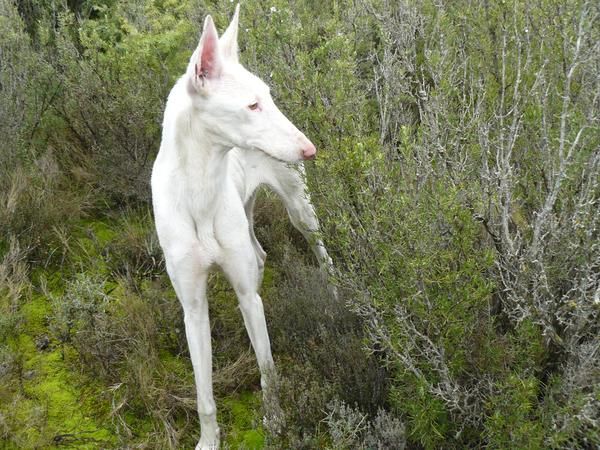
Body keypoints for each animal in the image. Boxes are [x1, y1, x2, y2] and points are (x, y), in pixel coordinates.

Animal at [151, 5, 332, 448]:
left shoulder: (249, 297)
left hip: (300, 210)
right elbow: (204, 395)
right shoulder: (193, 308)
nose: (310, 149)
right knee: (260, 253)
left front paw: (276, 422)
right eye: (252, 106)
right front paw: (208, 440)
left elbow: (268, 370)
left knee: (322, 253)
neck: (200, 189)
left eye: (269, 97)